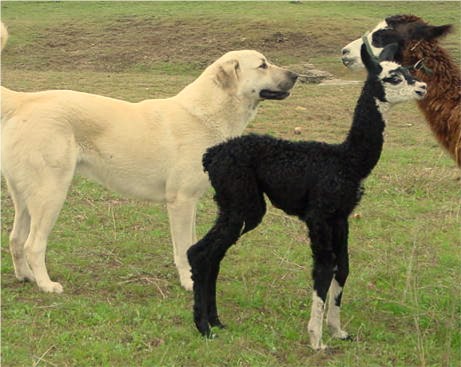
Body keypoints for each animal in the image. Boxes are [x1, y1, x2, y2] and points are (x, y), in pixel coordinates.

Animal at [0, 23, 298, 294]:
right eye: (262, 65)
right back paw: (46, 285)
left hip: (25, 198)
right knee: (32, 244)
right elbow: (182, 248)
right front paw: (189, 283)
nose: (295, 75)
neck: (206, 114)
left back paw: (25, 277)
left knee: (15, 239)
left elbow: (190, 244)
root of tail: (26, 100)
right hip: (51, 194)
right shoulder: (181, 201)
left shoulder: (191, 201)